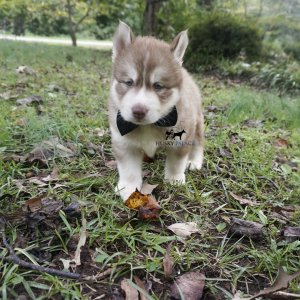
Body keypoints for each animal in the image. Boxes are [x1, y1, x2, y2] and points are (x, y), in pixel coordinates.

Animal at [109, 20, 205, 199]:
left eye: (158, 86)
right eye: (129, 82)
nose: (138, 111)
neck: (150, 125)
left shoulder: (181, 139)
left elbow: (176, 162)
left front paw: (174, 179)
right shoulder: (123, 142)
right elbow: (128, 169)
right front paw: (129, 188)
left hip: (197, 124)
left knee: (198, 143)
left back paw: (194, 161)